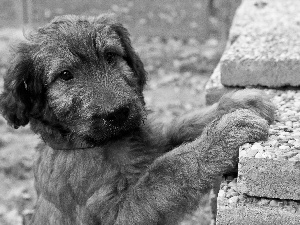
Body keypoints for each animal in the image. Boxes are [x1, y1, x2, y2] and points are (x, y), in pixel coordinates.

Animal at [0, 14, 276, 224]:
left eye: (110, 56)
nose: (118, 113)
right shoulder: (115, 213)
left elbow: (182, 126)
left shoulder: (153, 140)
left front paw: (239, 103)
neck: (106, 144)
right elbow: (168, 170)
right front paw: (224, 136)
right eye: (65, 75)